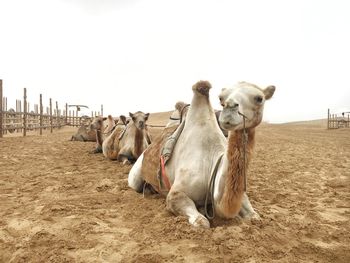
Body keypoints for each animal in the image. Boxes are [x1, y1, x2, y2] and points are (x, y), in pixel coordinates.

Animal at [127, 80, 274, 229]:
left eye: (259, 98)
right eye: (221, 98)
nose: (230, 109)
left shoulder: (241, 196)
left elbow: (255, 217)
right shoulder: (175, 194)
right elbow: (202, 222)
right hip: (135, 176)